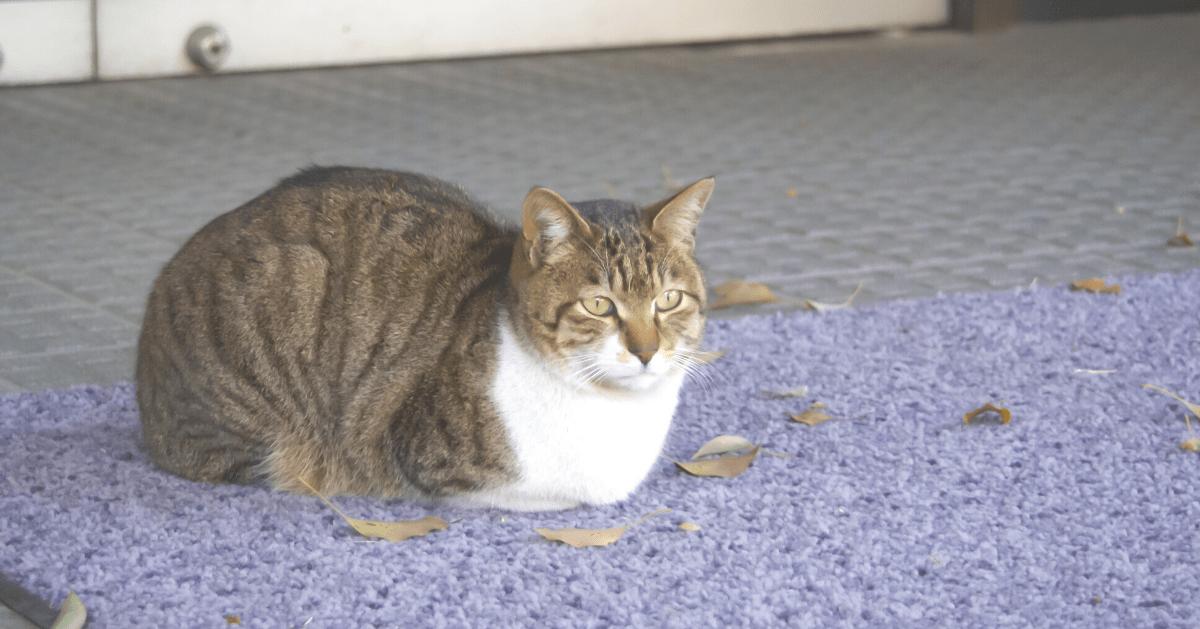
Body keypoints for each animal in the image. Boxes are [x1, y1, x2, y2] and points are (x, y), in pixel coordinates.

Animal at [137, 166, 710, 511]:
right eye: (599, 305)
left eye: (668, 300)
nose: (646, 351)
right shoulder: (435, 462)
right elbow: (546, 494)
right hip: (289, 297)